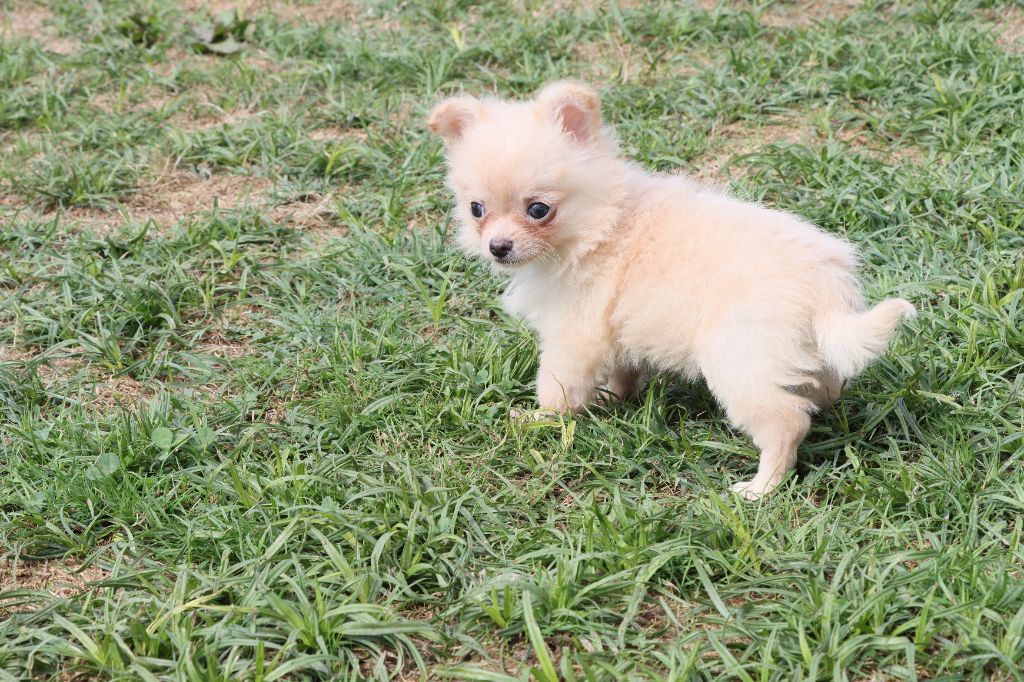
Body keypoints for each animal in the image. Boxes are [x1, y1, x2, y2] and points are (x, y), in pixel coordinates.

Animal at [427, 81, 914, 499]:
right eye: (476, 209)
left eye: (539, 210)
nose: (498, 247)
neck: (600, 223)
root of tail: (825, 287)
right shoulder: (615, 331)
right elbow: (622, 372)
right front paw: (611, 398)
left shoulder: (574, 336)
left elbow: (557, 389)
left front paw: (538, 419)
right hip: (806, 355)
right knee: (822, 390)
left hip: (738, 362)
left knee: (786, 423)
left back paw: (760, 489)